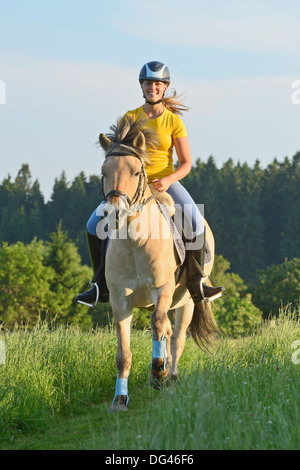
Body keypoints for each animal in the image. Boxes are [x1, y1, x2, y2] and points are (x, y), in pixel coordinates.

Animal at [97, 114, 219, 412]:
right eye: (104, 172)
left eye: (135, 172)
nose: (114, 213)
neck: (135, 243)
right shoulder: (120, 299)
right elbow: (123, 353)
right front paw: (120, 399)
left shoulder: (162, 289)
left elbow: (160, 326)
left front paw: (159, 373)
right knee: (164, 331)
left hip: (186, 301)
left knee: (175, 337)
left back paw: (169, 376)